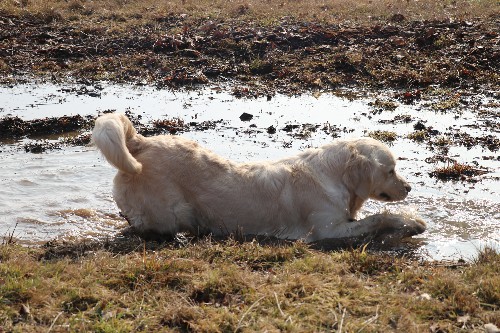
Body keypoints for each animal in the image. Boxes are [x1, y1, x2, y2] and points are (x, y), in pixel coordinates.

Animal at [93, 113, 426, 243]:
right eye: (390, 170)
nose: (409, 187)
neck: (334, 175)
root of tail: (141, 142)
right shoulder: (328, 230)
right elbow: (379, 217)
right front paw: (413, 222)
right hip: (171, 211)